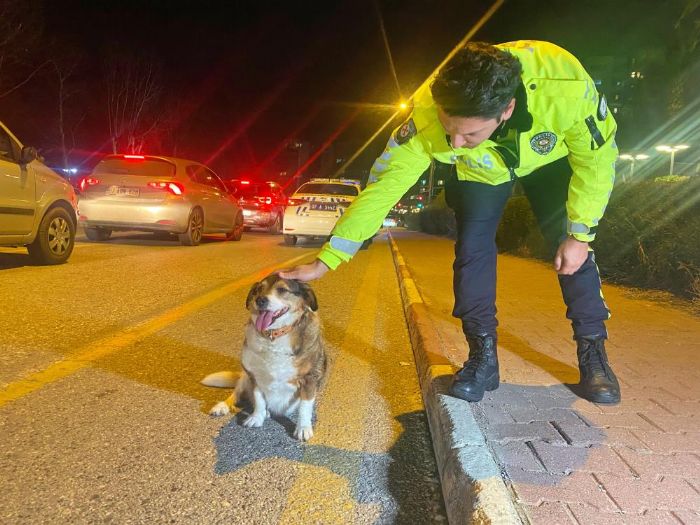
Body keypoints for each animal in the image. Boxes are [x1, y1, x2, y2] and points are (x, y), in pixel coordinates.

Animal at [200, 274, 326, 442]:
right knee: (236, 394)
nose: (260, 300)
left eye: (282, 289)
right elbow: (259, 399)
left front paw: (303, 428)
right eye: (259, 289)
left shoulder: (309, 379)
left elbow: (305, 408)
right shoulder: (255, 375)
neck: (274, 336)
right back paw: (223, 406)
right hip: (244, 377)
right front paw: (257, 417)